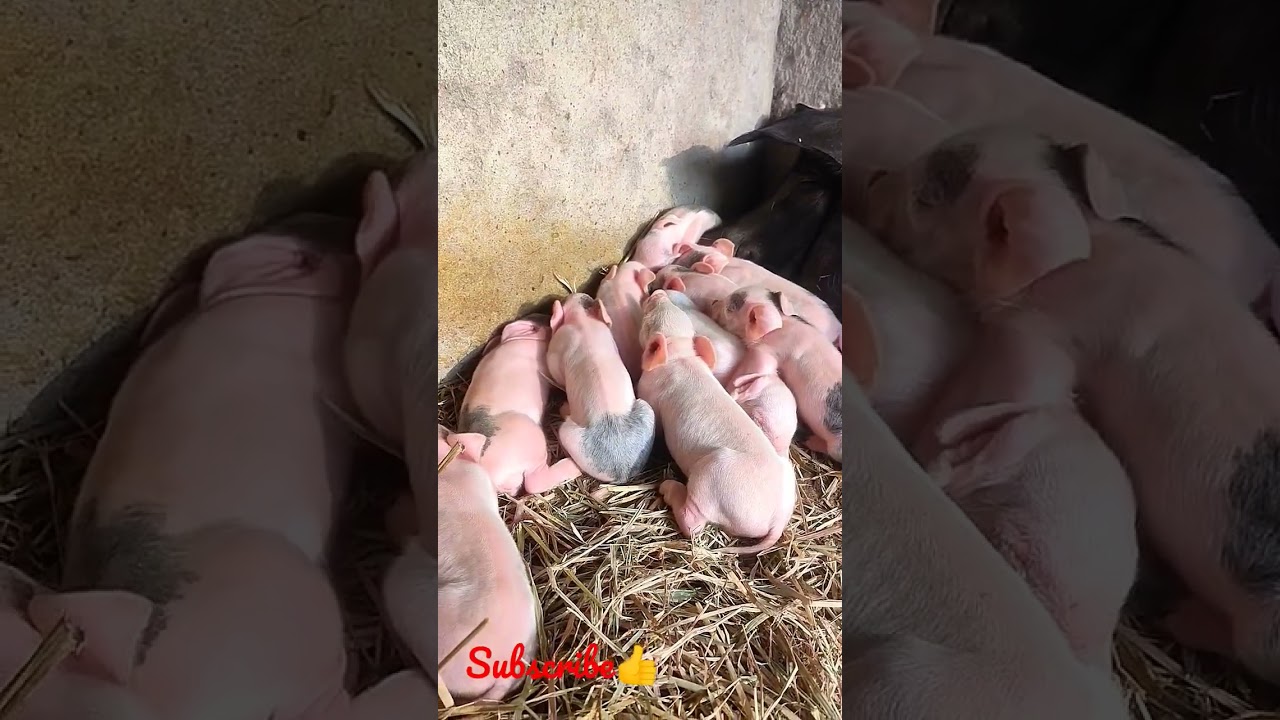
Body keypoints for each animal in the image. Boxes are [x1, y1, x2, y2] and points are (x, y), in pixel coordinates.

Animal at [545, 293, 656, 485]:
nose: (577, 294)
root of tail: (621, 470)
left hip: (570, 435)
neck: (583, 323)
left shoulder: (557, 347)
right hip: (647, 410)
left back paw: (564, 409)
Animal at [636, 290, 797, 553]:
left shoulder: (650, 394)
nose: (658, 293)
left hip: (712, 476)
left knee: (693, 524)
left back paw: (667, 487)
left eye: (649, 321)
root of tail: (777, 520)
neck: (680, 355)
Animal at [713, 285, 842, 463]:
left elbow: (758, 367)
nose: (713, 302)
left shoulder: (767, 351)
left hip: (837, 446)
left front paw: (733, 392)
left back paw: (810, 441)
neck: (781, 324)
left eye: (730, 308)